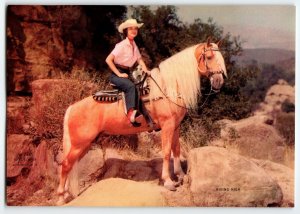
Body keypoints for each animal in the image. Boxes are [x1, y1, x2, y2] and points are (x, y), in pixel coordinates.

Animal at [56, 38, 226, 204]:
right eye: (209, 57)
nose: (219, 81)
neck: (167, 89)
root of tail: (72, 108)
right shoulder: (167, 126)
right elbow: (166, 152)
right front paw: (168, 181)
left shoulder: (176, 126)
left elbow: (176, 149)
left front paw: (180, 175)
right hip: (80, 143)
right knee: (65, 165)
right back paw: (61, 198)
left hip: (83, 145)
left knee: (69, 165)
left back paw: (66, 195)